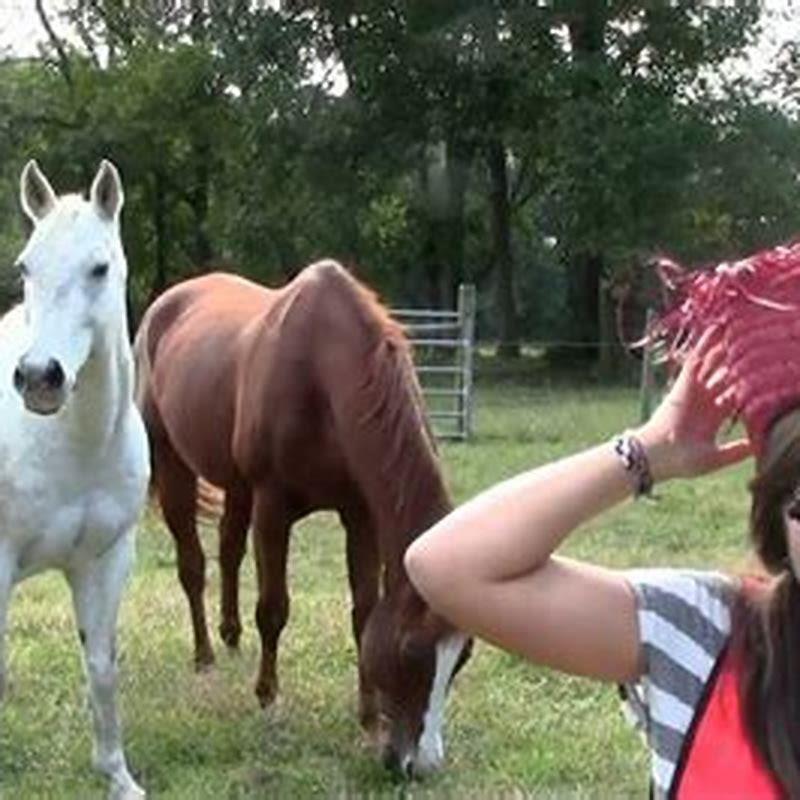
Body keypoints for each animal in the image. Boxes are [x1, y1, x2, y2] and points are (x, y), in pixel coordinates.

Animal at [133, 262, 472, 776]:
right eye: (412, 649)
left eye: (462, 657)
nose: (423, 766)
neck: (323, 375)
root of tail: (164, 304)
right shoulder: (273, 506)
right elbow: (273, 608)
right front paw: (268, 698)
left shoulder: (359, 515)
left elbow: (363, 613)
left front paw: (367, 717)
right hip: (173, 463)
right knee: (193, 566)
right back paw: (206, 656)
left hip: (237, 486)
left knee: (229, 549)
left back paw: (231, 638)